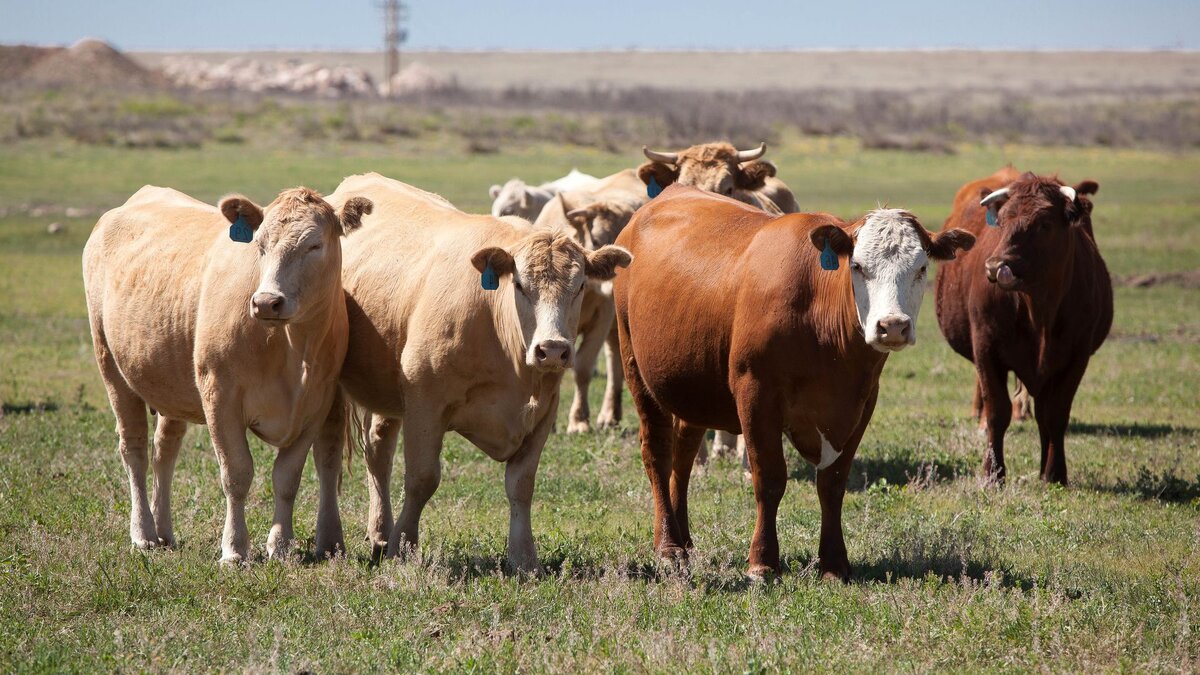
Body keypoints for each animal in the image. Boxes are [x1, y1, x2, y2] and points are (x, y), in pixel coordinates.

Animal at [82, 183, 369, 562]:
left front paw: (280, 545)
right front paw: (234, 549)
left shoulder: (315, 405)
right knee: (135, 450)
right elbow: (236, 473)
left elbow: (287, 477)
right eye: (260, 245)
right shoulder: (220, 395)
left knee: (164, 451)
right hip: (111, 367)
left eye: (314, 245)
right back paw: (143, 533)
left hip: (171, 383)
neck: (291, 347)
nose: (266, 302)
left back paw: (164, 531)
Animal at [319, 172, 638, 571]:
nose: (552, 350)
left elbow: (521, 485)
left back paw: (379, 532)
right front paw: (404, 547)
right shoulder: (425, 404)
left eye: (580, 286)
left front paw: (524, 557)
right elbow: (422, 478)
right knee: (330, 454)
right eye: (520, 285)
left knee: (378, 451)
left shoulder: (543, 411)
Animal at [614, 183, 969, 578]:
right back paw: (669, 546)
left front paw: (834, 563)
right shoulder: (756, 393)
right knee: (657, 453)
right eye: (858, 266)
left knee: (684, 454)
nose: (892, 326)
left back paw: (685, 539)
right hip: (635, 367)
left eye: (921, 268)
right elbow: (770, 479)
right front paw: (763, 561)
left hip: (692, 386)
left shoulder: (862, 403)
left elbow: (832, 483)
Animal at [931, 166, 1108, 482]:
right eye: (1001, 222)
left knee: (1043, 415)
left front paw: (1054, 474)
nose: (995, 265)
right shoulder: (986, 348)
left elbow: (1055, 415)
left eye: (1044, 224)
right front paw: (992, 474)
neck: (1039, 310)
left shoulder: (1076, 357)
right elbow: (997, 411)